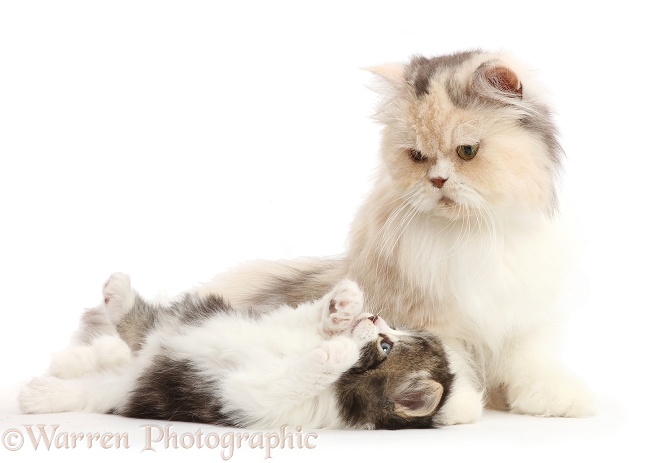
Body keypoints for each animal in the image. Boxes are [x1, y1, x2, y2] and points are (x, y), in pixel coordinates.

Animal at [22, 274, 456, 430]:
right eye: (389, 333)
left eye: (386, 345)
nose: (375, 315)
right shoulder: (278, 326)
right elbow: (307, 318)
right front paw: (343, 305)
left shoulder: (255, 399)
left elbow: (295, 377)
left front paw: (337, 352)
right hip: (187, 319)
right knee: (139, 327)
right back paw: (116, 294)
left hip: (141, 386)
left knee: (95, 386)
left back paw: (41, 394)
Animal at [192, 49, 596, 424]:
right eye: (417, 155)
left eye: (467, 151)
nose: (437, 181)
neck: (474, 232)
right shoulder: (431, 315)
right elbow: (447, 359)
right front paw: (454, 406)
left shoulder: (526, 316)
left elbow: (531, 362)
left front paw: (555, 399)